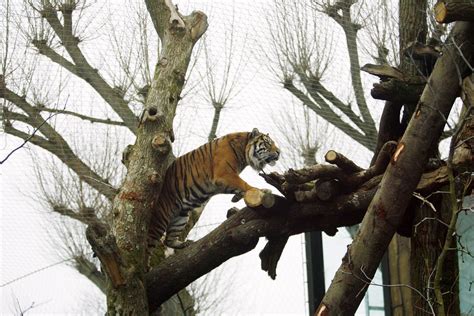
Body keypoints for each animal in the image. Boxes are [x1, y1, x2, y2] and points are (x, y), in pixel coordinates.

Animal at [150, 128, 280, 249]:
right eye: (268, 143)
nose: (279, 152)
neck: (243, 151)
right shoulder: (225, 175)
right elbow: (244, 184)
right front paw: (261, 191)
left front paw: (237, 197)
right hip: (161, 217)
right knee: (150, 242)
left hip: (181, 216)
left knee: (169, 240)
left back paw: (183, 244)